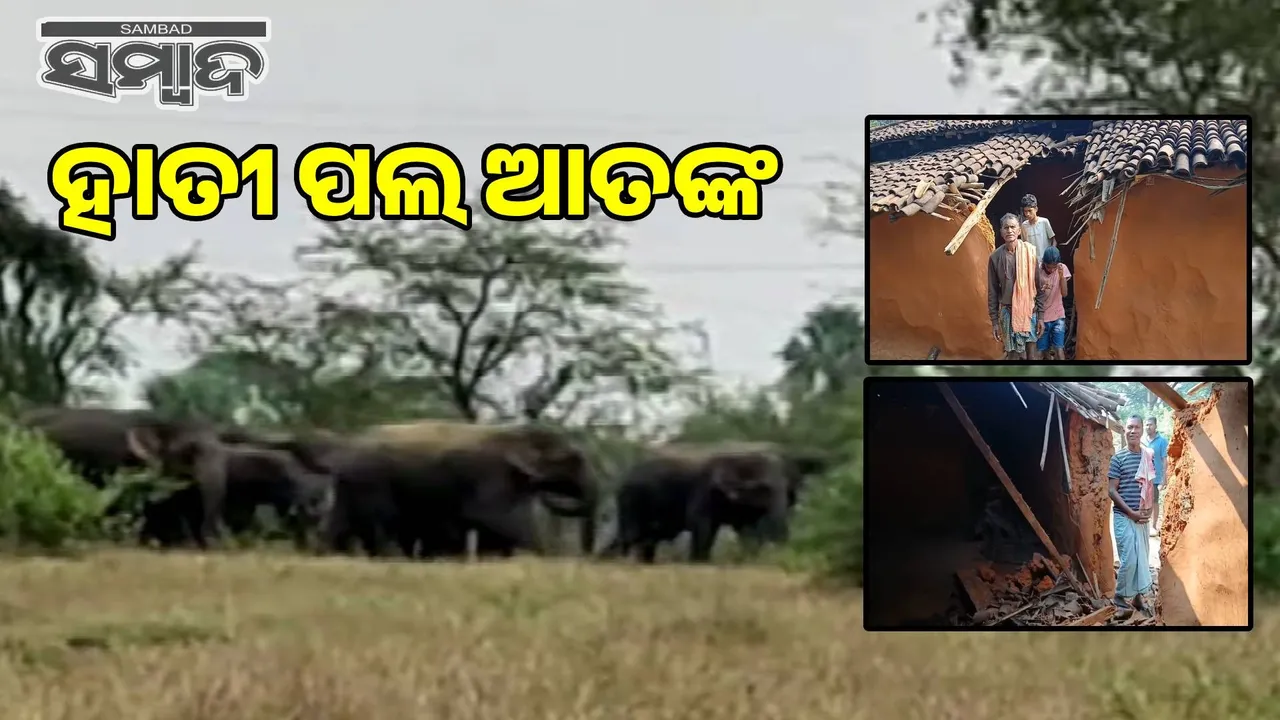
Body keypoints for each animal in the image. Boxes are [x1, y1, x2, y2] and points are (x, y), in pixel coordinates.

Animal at [323, 421, 598, 559]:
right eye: (575, 459)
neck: (516, 432)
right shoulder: (490, 473)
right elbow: (491, 517)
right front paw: (542, 556)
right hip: (372, 481)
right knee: (381, 523)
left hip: (352, 487)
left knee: (341, 525)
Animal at [600, 441, 816, 563]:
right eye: (764, 488)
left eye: (790, 490)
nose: (780, 548)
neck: (740, 456)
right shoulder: (704, 490)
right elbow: (701, 525)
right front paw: (699, 562)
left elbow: (745, 531)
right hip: (632, 501)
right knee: (631, 535)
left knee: (639, 538)